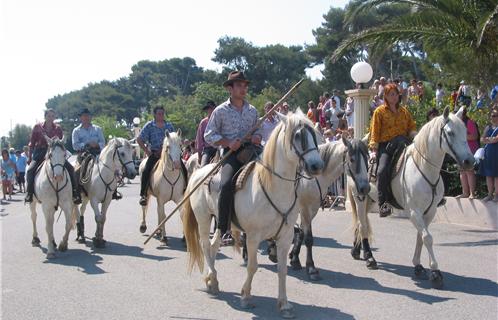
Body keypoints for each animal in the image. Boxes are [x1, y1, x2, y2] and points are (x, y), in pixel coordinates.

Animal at [183, 111, 322, 318]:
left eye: (314, 134)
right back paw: (213, 280)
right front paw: (246, 297)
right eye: (298, 136)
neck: (273, 186)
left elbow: (282, 269)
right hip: (203, 218)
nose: (317, 165)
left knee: (214, 245)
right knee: (205, 245)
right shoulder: (253, 236)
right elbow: (253, 266)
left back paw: (211, 279)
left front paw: (284, 304)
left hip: (221, 222)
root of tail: (198, 172)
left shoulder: (285, 236)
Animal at [288, 136, 370, 278]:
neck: (311, 177)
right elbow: (308, 238)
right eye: (352, 159)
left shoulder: (312, 209)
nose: (365, 188)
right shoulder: (305, 208)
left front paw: (295, 259)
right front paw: (311, 267)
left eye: (367, 158)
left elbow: (302, 233)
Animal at [348, 107, 472, 288]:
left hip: (370, 200)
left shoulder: (430, 212)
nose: (470, 161)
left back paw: (357, 251)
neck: (423, 168)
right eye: (450, 132)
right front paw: (435, 272)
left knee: (360, 222)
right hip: (359, 198)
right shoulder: (414, 212)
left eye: (465, 131)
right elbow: (427, 238)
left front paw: (419, 266)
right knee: (363, 224)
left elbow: (421, 238)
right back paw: (370, 258)